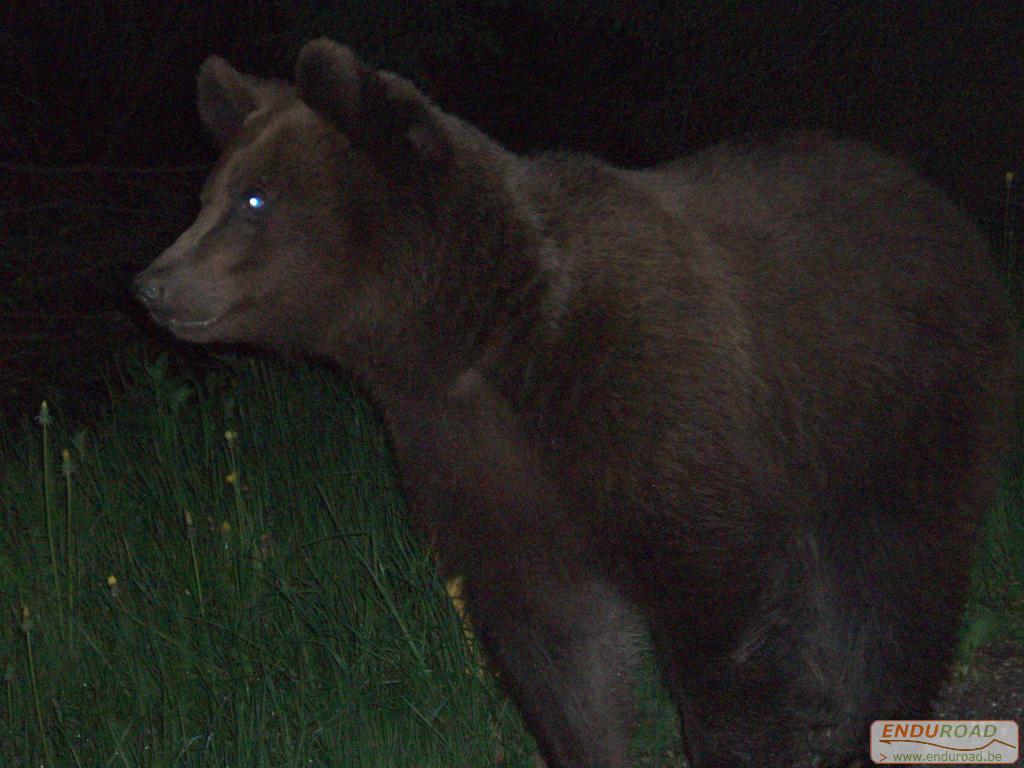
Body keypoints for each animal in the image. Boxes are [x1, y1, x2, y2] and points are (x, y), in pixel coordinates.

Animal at [134, 40, 1015, 768]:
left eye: (254, 201)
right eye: (209, 193)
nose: (153, 283)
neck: (481, 344)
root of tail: (931, 196)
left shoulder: (654, 421)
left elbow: (719, 637)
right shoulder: (479, 473)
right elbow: (558, 659)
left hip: (904, 399)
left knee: (895, 572)